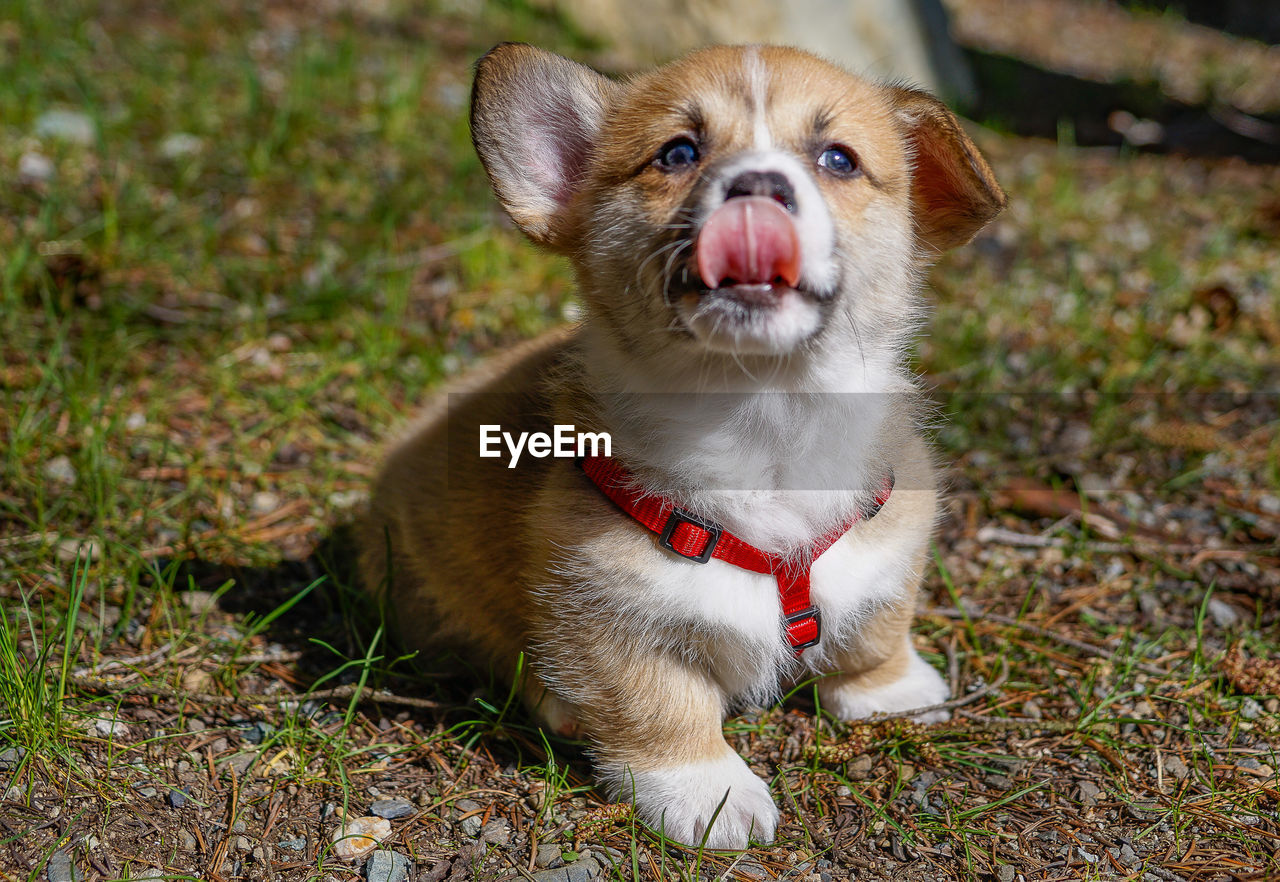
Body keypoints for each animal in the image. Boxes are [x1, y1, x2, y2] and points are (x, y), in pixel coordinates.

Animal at [366, 44, 1003, 849]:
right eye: (677, 153)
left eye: (838, 158)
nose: (759, 187)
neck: (765, 417)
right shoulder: (606, 608)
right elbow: (661, 707)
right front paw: (712, 795)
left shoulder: (892, 542)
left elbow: (876, 627)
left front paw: (892, 692)